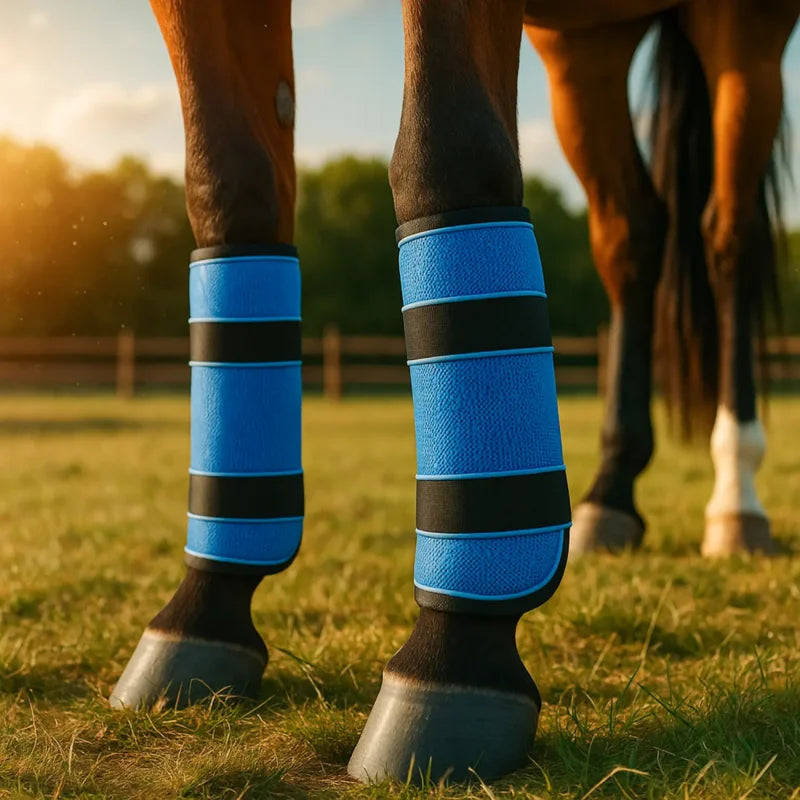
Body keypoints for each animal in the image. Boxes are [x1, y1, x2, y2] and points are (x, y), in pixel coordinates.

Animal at [108, 0, 798, 786]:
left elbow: (444, 152)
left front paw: (452, 659)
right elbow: (227, 190)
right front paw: (203, 611)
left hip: (743, 26)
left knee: (728, 238)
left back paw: (736, 498)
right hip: (584, 45)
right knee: (633, 235)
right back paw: (611, 493)